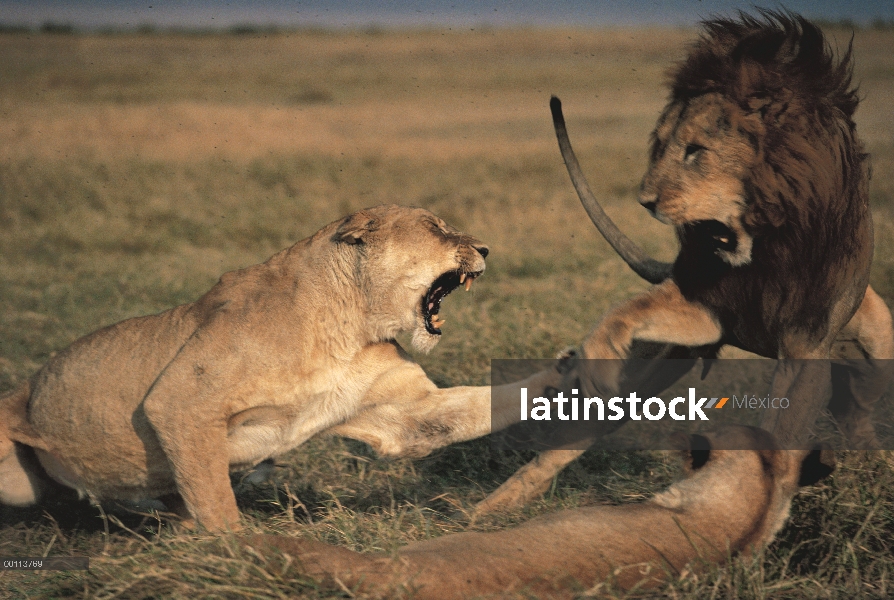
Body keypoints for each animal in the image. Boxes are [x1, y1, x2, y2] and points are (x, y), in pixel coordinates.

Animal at [0, 205, 560, 528]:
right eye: (436, 229)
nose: (485, 249)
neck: (348, 324)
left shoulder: (399, 415)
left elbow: (475, 408)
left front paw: (570, 374)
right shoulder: (179, 401)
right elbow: (219, 509)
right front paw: (242, 559)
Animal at [480, 10, 894, 510]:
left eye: (696, 151)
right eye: (659, 145)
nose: (644, 200)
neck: (765, 246)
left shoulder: (806, 345)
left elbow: (780, 429)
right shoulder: (710, 308)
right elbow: (624, 311)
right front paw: (598, 355)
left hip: (877, 349)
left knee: (858, 409)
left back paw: (876, 465)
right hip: (658, 363)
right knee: (569, 440)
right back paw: (487, 510)